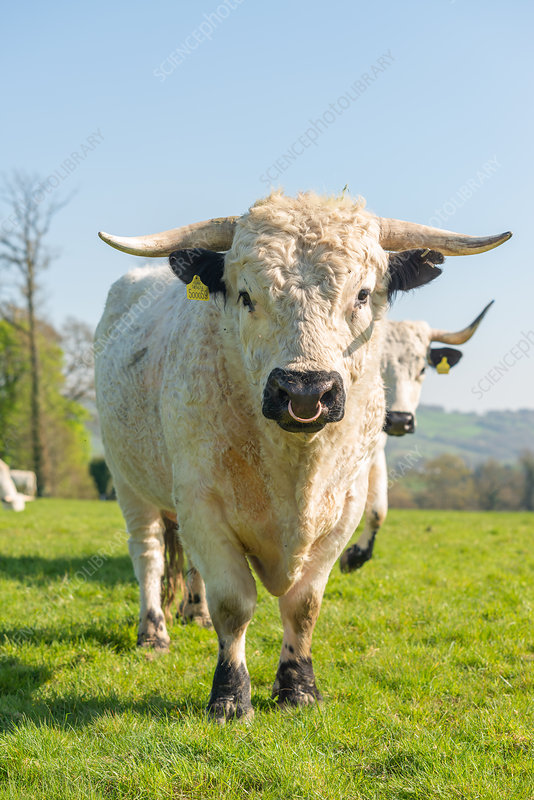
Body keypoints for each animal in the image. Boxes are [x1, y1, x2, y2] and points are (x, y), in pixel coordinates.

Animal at [340, 298, 494, 572]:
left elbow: (377, 510)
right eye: (378, 365)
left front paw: (355, 555)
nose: (401, 420)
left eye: (422, 369)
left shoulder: (375, 448)